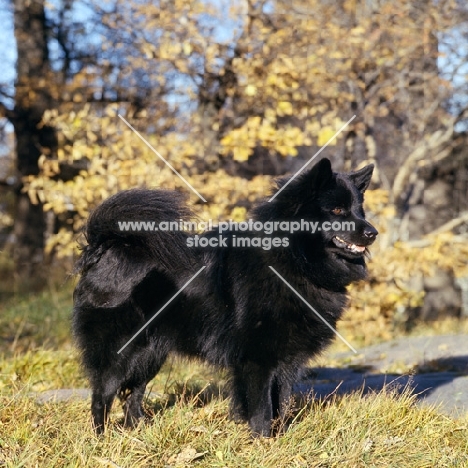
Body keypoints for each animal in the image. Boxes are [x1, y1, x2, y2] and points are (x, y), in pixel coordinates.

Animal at [71, 157, 376, 436]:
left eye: (359, 211)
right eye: (337, 210)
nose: (373, 232)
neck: (291, 259)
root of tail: (104, 248)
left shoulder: (286, 361)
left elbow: (281, 402)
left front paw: (279, 437)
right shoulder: (258, 359)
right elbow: (263, 407)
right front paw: (263, 441)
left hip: (151, 352)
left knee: (133, 392)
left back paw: (140, 430)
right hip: (120, 350)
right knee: (102, 396)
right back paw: (101, 439)